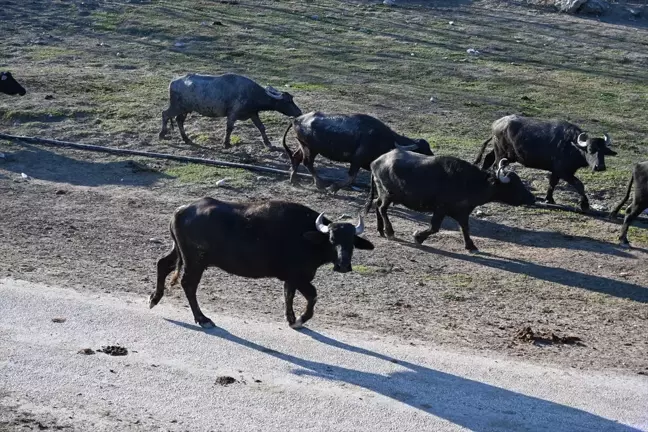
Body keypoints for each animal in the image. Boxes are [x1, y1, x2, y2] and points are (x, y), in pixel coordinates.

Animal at [150, 198, 374, 328]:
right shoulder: (299, 277)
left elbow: (288, 296)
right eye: (332, 240)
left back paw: (154, 298)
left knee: (163, 264)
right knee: (188, 284)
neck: (306, 237)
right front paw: (300, 320)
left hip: (179, 251)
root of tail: (181, 210)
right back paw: (202, 318)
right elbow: (312, 296)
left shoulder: (291, 279)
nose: (343, 265)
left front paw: (290, 318)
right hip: (195, 261)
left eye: (351, 241)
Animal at [158, 72, 302, 150]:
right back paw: (162, 134)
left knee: (179, 121)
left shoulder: (253, 114)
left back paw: (186, 139)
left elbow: (261, 127)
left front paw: (269, 144)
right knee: (165, 114)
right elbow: (229, 128)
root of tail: (173, 82)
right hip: (177, 107)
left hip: (185, 109)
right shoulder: (232, 114)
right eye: (288, 101)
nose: (299, 112)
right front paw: (226, 143)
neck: (252, 93)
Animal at [280, 111, 432, 192]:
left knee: (296, 157)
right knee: (307, 162)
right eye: (422, 151)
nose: (432, 159)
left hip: (303, 146)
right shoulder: (356, 161)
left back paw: (294, 180)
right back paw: (320, 184)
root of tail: (297, 119)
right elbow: (351, 178)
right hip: (310, 149)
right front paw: (333, 188)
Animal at [368, 150, 536, 251]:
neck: (469, 182)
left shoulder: (463, 212)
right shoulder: (440, 209)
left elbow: (465, 228)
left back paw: (380, 230)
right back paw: (389, 231)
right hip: (388, 195)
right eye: (513, 185)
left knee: (377, 205)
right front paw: (418, 237)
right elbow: (434, 227)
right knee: (382, 208)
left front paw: (470, 245)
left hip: (383, 194)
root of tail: (375, 162)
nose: (532, 198)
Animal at [470, 114, 616, 210]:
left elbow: (552, 184)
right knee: (495, 165)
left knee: (488, 158)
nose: (600, 167)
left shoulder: (557, 171)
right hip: (501, 153)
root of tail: (496, 123)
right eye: (591, 150)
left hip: (504, 154)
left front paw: (549, 198)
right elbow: (579, 184)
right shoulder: (563, 172)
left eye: (604, 151)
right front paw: (584, 204)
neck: (571, 146)